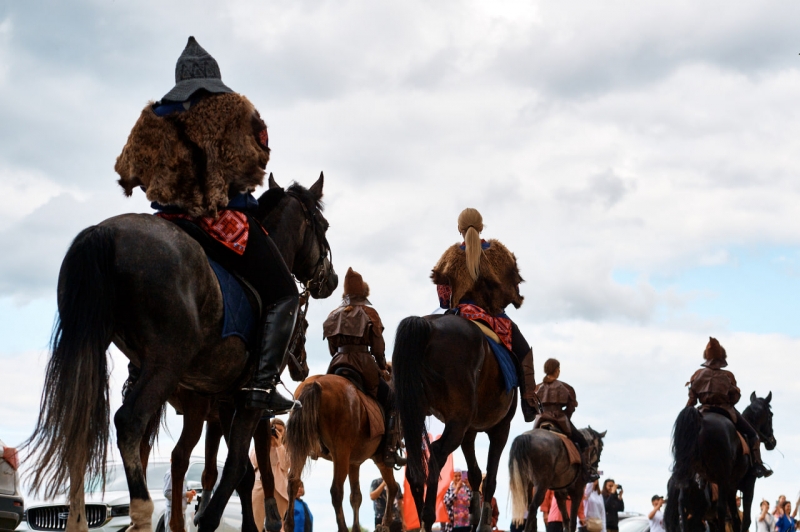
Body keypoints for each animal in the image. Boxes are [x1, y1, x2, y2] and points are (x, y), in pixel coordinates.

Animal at [25, 175, 338, 532]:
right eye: (323, 225)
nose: (331, 279)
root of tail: (104, 232)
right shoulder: (248, 400)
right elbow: (238, 466)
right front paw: (214, 518)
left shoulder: (226, 399)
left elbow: (241, 471)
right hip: (166, 363)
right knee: (132, 425)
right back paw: (144, 513)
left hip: (94, 347)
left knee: (85, 427)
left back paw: (80, 519)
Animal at [286, 374, 400, 532]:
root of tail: (316, 383)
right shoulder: (379, 459)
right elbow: (391, 487)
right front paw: (385, 523)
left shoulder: (354, 463)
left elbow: (356, 496)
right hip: (341, 453)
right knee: (336, 490)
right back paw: (344, 527)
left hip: (302, 448)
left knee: (293, 481)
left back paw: (288, 525)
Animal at [392, 316, 516, 532]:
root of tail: (430, 326)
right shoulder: (501, 428)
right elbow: (490, 478)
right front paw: (482, 522)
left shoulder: (470, 430)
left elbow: (475, 474)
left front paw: (475, 516)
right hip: (458, 421)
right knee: (436, 452)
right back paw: (427, 518)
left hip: (418, 414)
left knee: (416, 464)